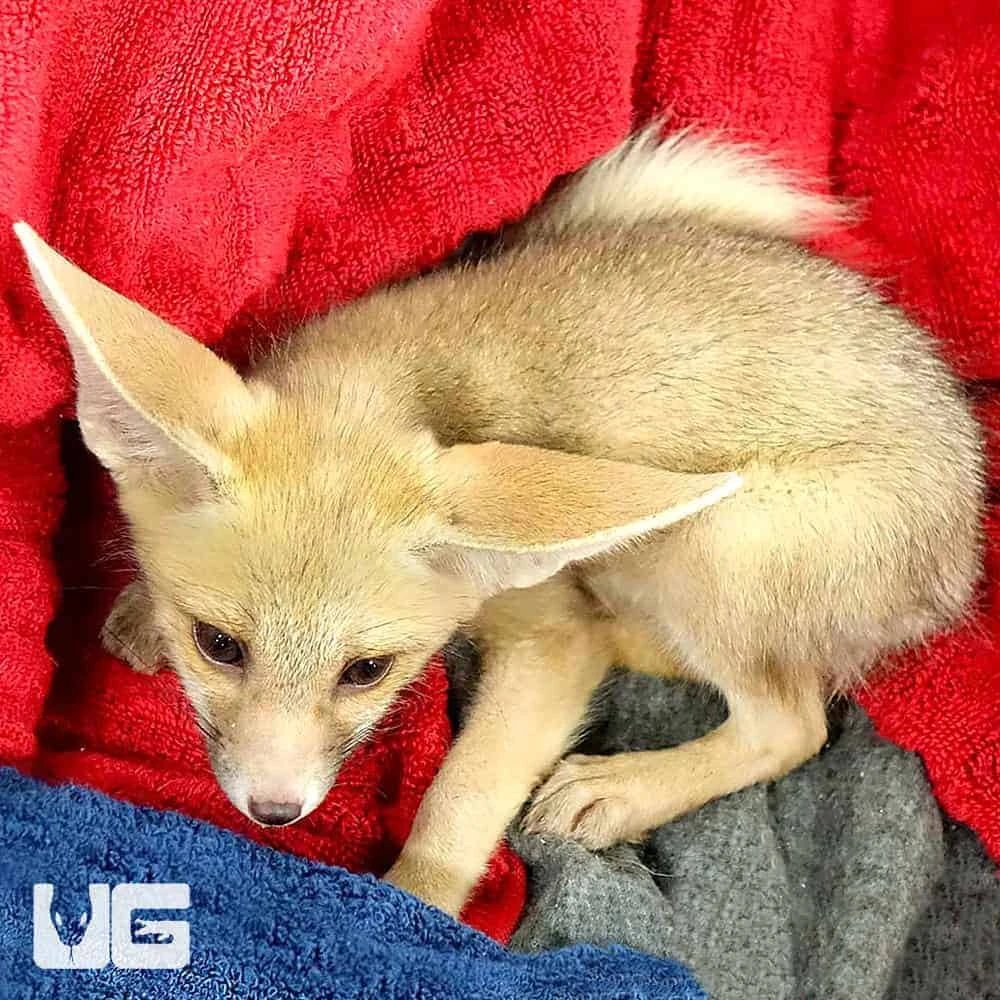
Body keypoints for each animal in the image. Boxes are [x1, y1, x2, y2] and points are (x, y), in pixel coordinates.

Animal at [15, 127, 984, 917]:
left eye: (367, 672)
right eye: (217, 645)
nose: (275, 810)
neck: (383, 378)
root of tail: (968, 526)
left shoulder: (547, 632)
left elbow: (462, 797)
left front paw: (410, 914)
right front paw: (141, 608)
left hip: (709, 544)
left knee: (793, 724)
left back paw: (628, 785)